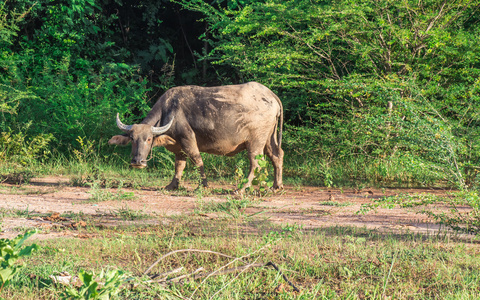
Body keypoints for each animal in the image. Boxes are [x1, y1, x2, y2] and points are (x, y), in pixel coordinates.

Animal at [110, 81, 284, 191]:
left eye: (148, 139)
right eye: (132, 139)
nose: (137, 162)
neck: (168, 111)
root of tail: (270, 95)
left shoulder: (188, 140)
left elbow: (197, 160)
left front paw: (203, 186)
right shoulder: (178, 147)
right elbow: (179, 165)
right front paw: (172, 186)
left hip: (255, 141)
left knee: (255, 163)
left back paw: (242, 189)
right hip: (269, 138)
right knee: (277, 155)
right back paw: (275, 186)